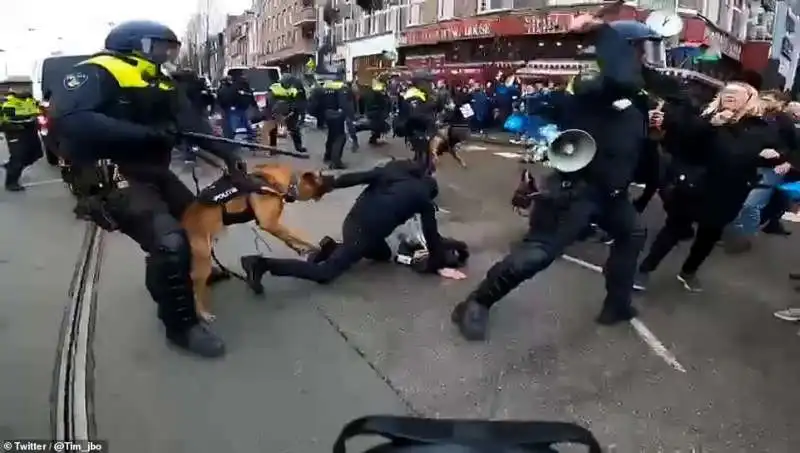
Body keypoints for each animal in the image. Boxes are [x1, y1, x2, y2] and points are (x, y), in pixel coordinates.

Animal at [182, 162, 328, 322]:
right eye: (319, 182)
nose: (328, 188)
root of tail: (182, 225)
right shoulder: (270, 223)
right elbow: (299, 236)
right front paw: (314, 247)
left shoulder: (273, 225)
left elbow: (289, 237)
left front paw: (301, 248)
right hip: (202, 261)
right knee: (196, 290)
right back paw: (203, 313)